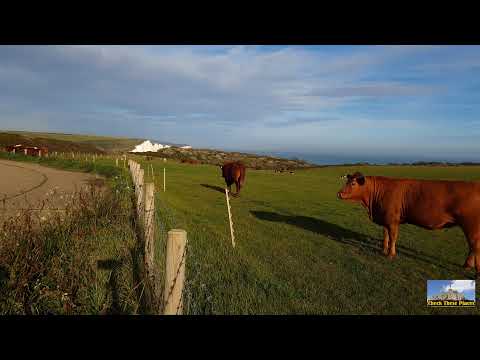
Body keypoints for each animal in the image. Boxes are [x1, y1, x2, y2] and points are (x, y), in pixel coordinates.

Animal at [338, 171, 480, 276]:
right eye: (347, 181)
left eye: (353, 183)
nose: (339, 193)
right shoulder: (385, 219)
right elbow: (385, 235)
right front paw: (383, 250)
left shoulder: (392, 220)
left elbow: (393, 237)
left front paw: (391, 254)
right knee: (472, 246)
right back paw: (467, 265)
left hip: (471, 225)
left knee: (475, 246)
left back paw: (476, 272)